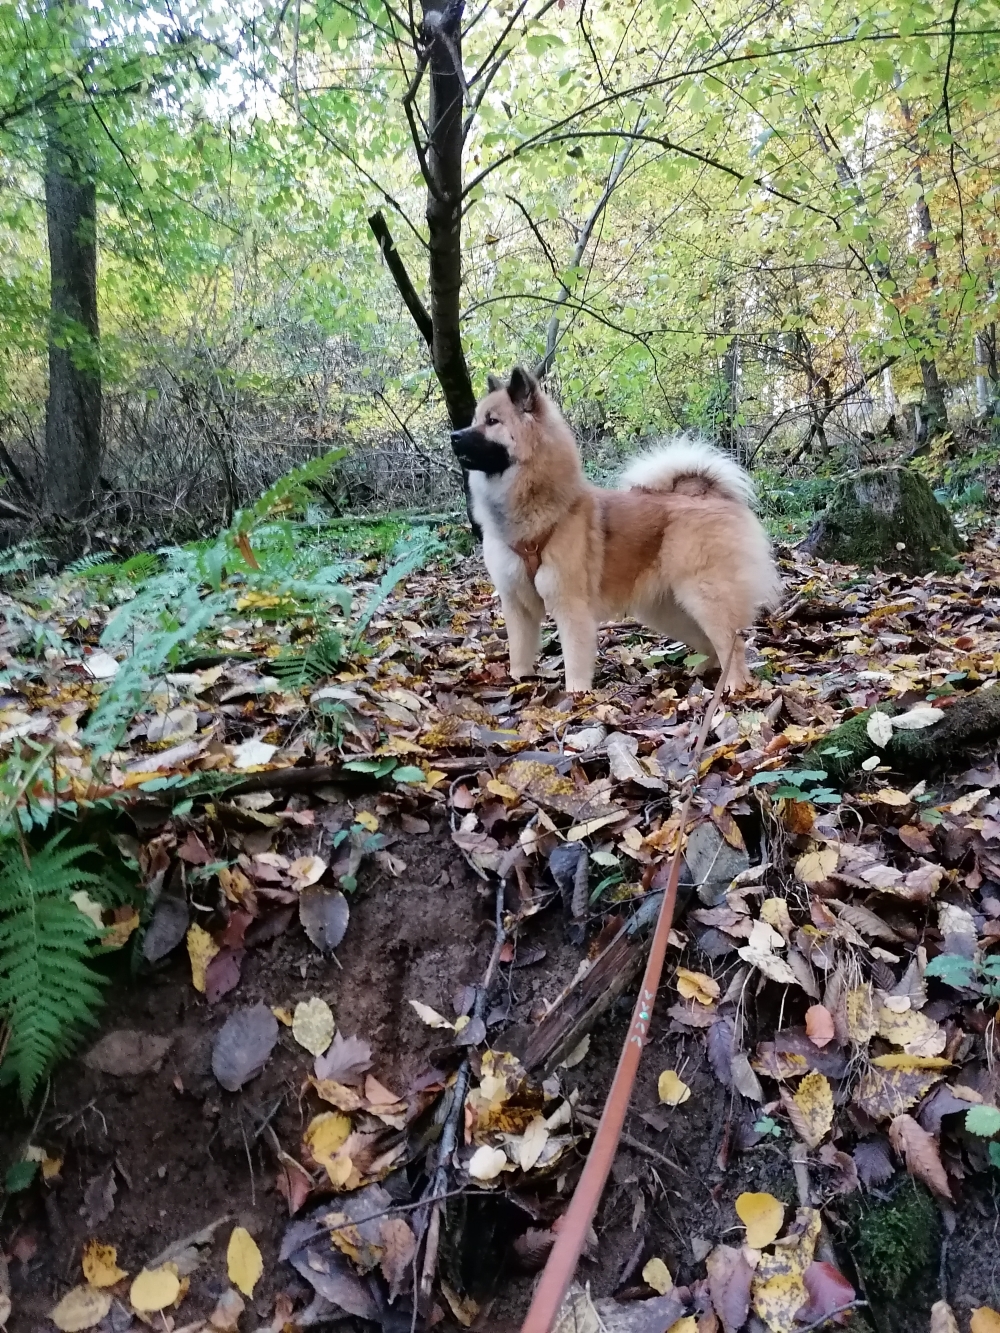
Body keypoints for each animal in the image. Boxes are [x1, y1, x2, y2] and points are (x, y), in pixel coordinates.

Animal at [453, 367, 784, 693]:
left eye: (492, 421)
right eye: (474, 420)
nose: (454, 436)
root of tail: (709, 493)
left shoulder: (571, 605)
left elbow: (574, 659)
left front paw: (576, 696)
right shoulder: (517, 606)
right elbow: (519, 655)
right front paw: (518, 684)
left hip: (705, 596)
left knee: (731, 644)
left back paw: (735, 686)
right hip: (668, 610)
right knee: (710, 645)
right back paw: (702, 674)